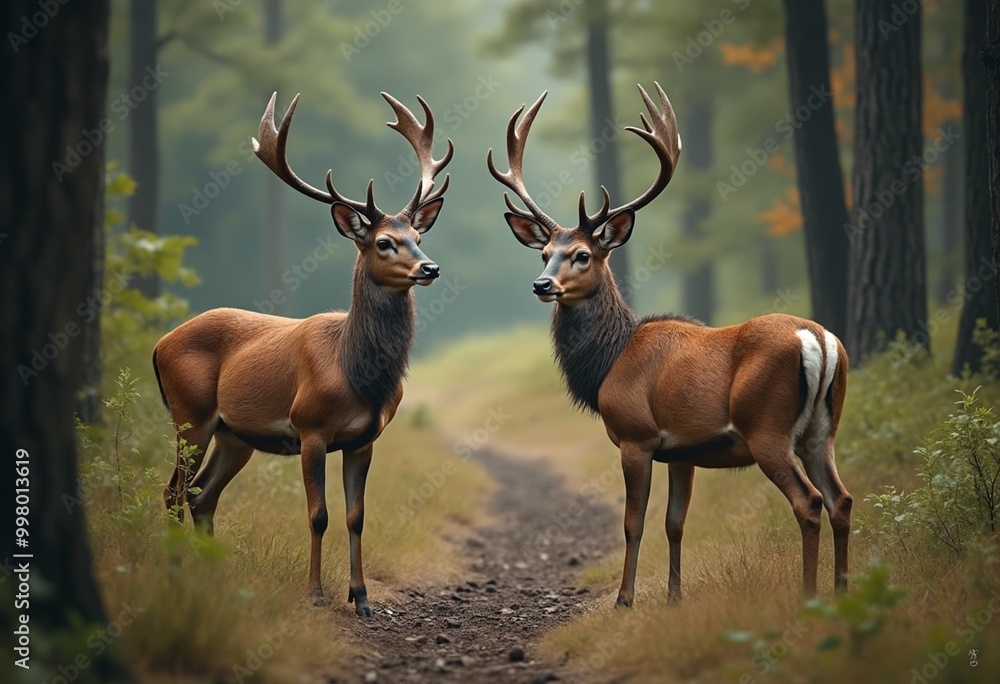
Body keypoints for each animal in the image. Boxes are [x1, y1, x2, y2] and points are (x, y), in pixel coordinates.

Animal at [152, 91, 452, 617]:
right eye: (384, 242)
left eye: (419, 237)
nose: (430, 267)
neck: (357, 374)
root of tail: (159, 344)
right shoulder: (309, 426)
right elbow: (319, 514)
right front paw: (314, 592)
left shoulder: (364, 438)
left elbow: (355, 516)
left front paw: (361, 598)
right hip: (190, 413)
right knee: (172, 491)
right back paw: (174, 571)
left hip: (234, 435)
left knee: (201, 494)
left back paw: (211, 572)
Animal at [487, 82, 852, 607]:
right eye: (543, 253)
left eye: (582, 255)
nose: (542, 285)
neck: (608, 362)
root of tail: (819, 340)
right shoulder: (683, 450)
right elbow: (674, 524)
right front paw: (674, 597)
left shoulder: (636, 435)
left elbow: (633, 524)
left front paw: (624, 599)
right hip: (822, 431)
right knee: (842, 499)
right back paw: (842, 590)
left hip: (767, 427)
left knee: (810, 502)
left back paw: (810, 594)